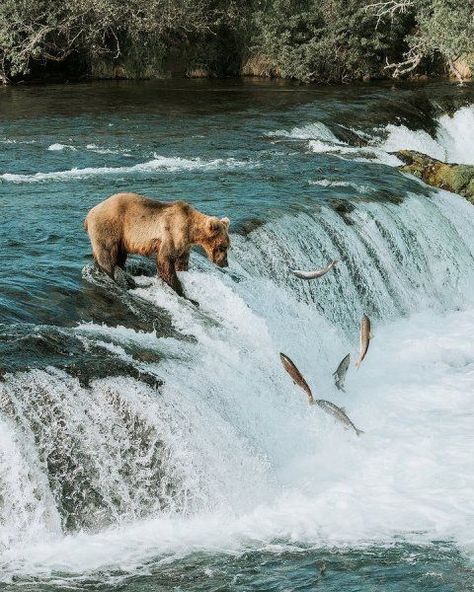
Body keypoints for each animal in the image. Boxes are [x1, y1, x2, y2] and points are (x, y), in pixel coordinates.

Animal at [84, 193, 231, 298]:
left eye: (228, 246)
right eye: (223, 246)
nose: (225, 263)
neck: (191, 231)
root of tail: (89, 213)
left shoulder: (184, 244)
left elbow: (182, 261)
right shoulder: (172, 232)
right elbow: (165, 259)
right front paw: (180, 290)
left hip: (120, 238)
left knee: (119, 255)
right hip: (109, 226)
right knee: (107, 254)